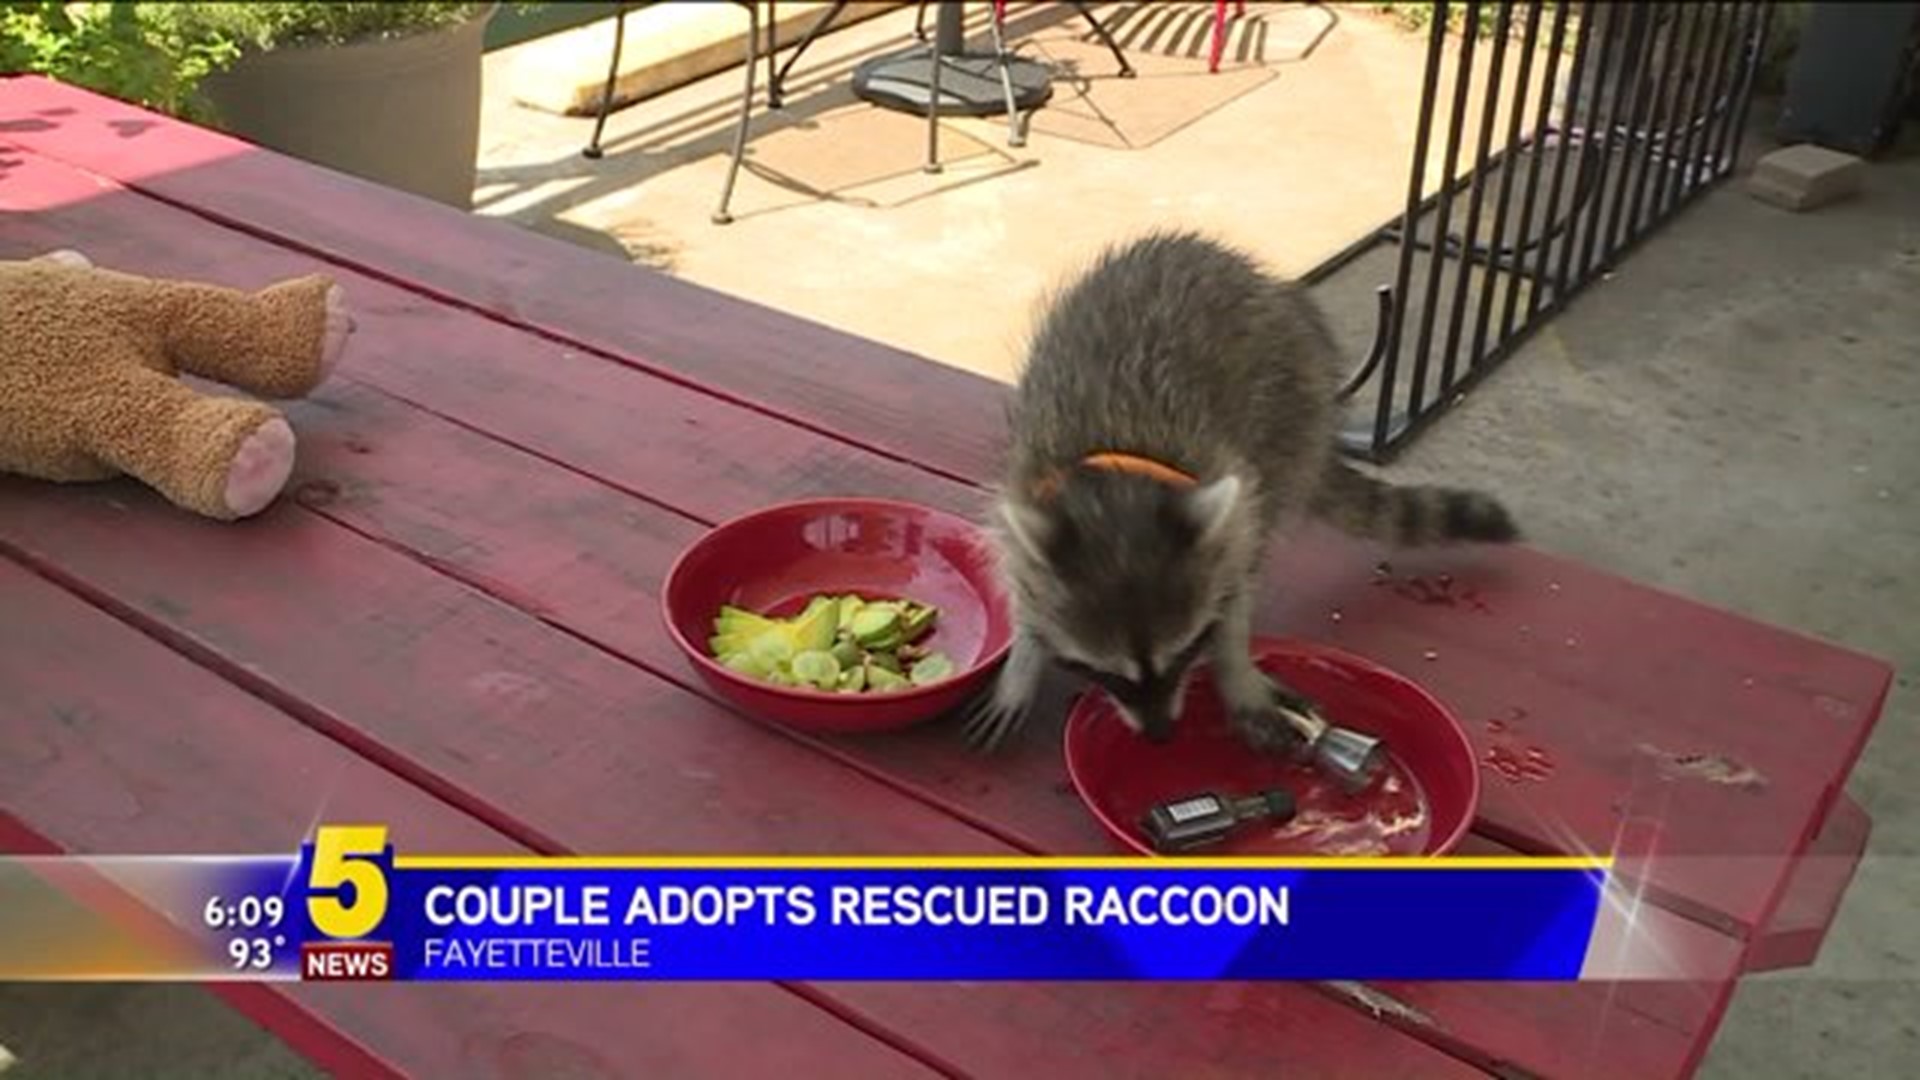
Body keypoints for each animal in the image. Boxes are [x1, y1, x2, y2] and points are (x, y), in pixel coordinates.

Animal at [967, 228, 1520, 749]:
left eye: (1186, 650)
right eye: (1106, 673)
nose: (1161, 735)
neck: (1117, 481)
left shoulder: (1237, 494)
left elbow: (1236, 589)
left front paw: (1235, 669)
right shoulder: (1026, 480)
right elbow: (1022, 585)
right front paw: (1023, 663)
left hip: (1294, 407)